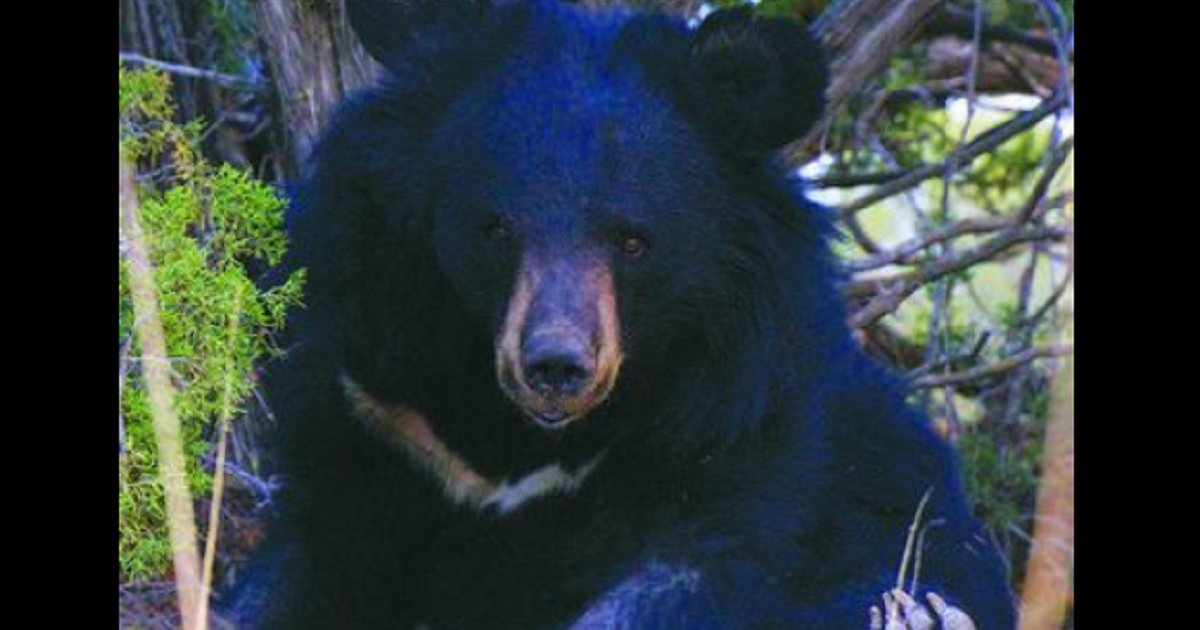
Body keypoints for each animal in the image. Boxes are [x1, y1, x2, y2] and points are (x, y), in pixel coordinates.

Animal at [232, 0, 1017, 628]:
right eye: (496, 230)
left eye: (635, 241)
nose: (555, 367)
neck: (525, 444)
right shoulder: (379, 410)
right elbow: (305, 563)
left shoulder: (730, 430)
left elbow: (674, 583)